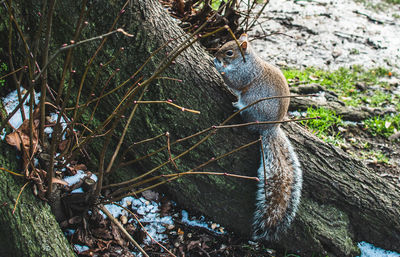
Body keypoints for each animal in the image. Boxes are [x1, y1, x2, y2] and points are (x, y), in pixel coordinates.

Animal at [214, 33, 302, 240]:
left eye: (229, 52)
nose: (216, 54)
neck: (248, 61)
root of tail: (269, 128)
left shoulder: (245, 75)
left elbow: (235, 82)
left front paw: (218, 67)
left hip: (251, 106)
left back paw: (237, 109)